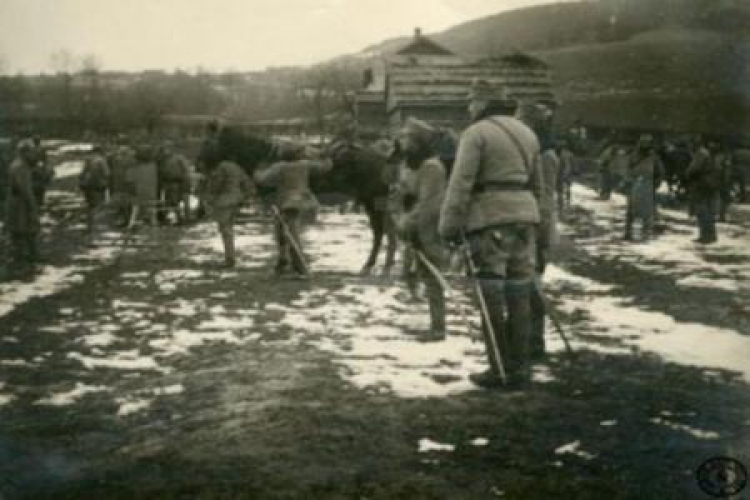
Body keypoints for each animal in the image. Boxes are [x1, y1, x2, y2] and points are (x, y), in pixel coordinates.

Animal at [212, 125, 400, 274]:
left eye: (210, 142)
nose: (203, 167)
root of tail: (383, 158)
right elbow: (282, 232)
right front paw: (286, 263)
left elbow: (283, 234)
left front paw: (283, 265)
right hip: (372, 202)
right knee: (384, 231)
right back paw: (381, 264)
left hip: (375, 201)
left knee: (381, 231)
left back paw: (375, 265)